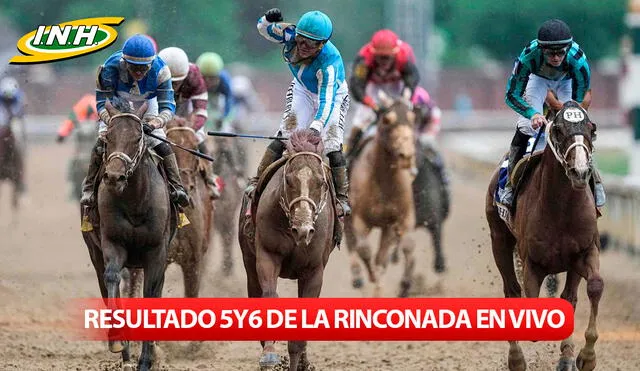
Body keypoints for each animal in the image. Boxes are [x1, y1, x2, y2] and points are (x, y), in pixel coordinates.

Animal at [84, 99, 178, 371]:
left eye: (138, 137)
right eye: (109, 138)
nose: (114, 177)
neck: (135, 201)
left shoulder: (156, 253)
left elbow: (150, 293)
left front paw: (146, 360)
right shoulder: (112, 243)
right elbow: (112, 279)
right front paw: (118, 342)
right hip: (95, 252)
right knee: (106, 284)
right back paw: (124, 355)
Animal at [238, 129, 338, 370]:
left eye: (321, 182)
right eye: (289, 179)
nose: (303, 229)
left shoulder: (314, 270)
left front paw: (297, 361)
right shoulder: (267, 256)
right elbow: (269, 297)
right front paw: (269, 356)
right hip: (249, 264)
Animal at [488, 100, 604, 370]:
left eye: (592, 128)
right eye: (559, 130)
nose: (580, 171)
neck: (561, 208)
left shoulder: (584, 252)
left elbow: (592, 287)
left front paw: (584, 357)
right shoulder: (532, 262)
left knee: (569, 296)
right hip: (499, 240)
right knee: (511, 291)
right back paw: (516, 359)